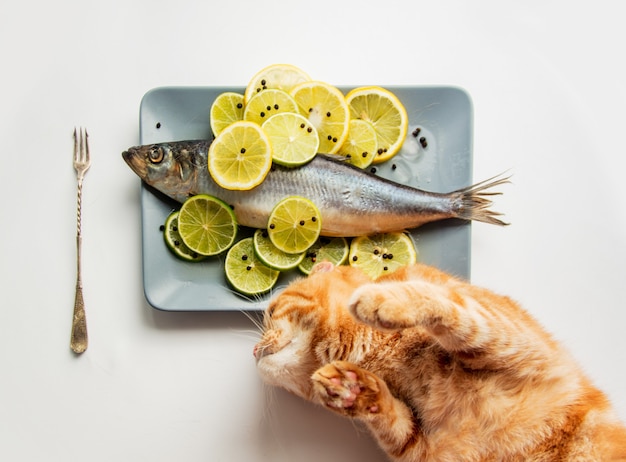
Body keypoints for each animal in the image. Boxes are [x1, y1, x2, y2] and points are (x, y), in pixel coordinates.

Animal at [252, 262, 624, 460]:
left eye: (270, 311)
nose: (253, 352)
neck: (383, 356)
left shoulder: (521, 342)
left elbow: (453, 305)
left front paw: (383, 300)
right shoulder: (427, 450)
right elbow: (397, 423)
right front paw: (355, 390)